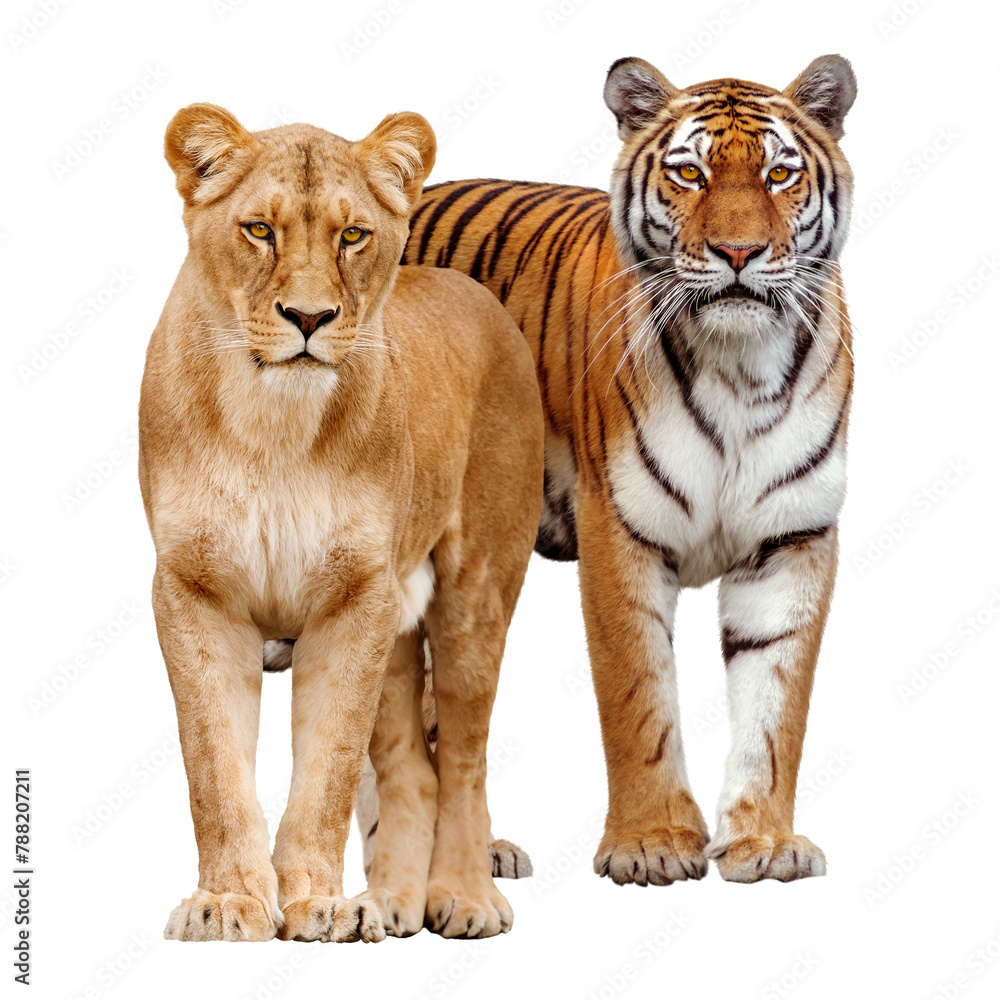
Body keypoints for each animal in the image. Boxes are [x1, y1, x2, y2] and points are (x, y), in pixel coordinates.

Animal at [139, 103, 543, 941]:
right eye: (259, 230)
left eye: (353, 235)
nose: (308, 317)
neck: (272, 423)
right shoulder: (195, 593)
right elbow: (215, 768)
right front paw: (230, 903)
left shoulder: (356, 599)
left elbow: (325, 770)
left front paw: (316, 906)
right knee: (411, 769)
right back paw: (390, 901)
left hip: (475, 595)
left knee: (461, 755)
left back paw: (461, 895)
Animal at [400, 54, 856, 884]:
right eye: (689, 173)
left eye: (779, 174)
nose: (738, 254)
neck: (740, 367)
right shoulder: (619, 528)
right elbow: (637, 695)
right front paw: (650, 844)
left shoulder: (793, 539)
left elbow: (777, 707)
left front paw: (764, 843)